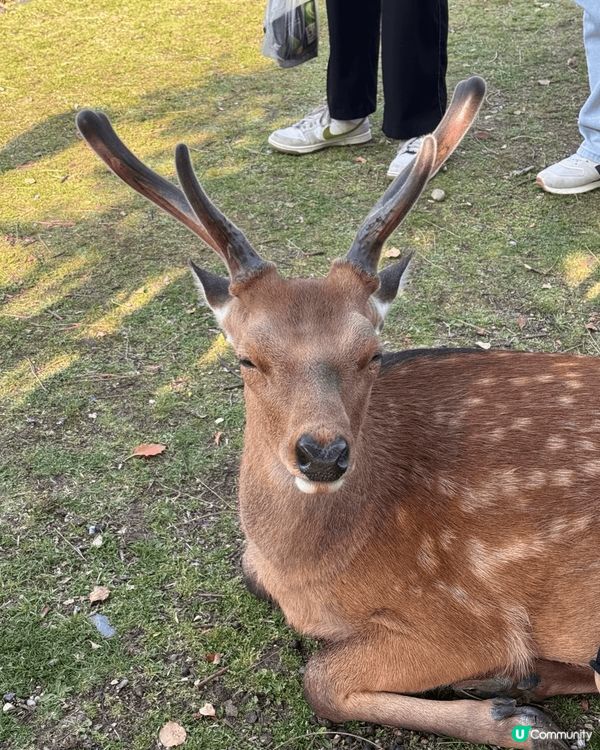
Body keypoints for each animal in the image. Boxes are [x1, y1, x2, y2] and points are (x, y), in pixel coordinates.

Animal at [76, 76, 600, 749]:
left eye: (372, 353)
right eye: (246, 358)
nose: (321, 453)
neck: (307, 573)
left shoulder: (469, 615)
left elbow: (320, 679)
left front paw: (514, 717)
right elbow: (252, 578)